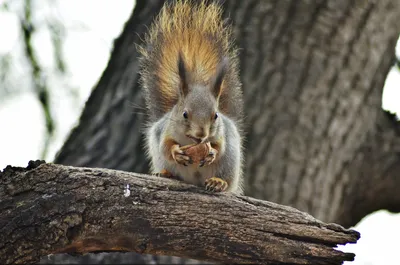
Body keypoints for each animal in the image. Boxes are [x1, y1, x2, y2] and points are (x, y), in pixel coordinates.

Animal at [138, 0, 244, 194]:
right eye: (184, 114)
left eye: (215, 115)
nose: (201, 135)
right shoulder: (166, 130)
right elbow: (166, 146)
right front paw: (176, 153)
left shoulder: (221, 134)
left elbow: (220, 146)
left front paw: (212, 153)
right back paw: (165, 174)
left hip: (230, 163)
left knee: (226, 178)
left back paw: (218, 182)